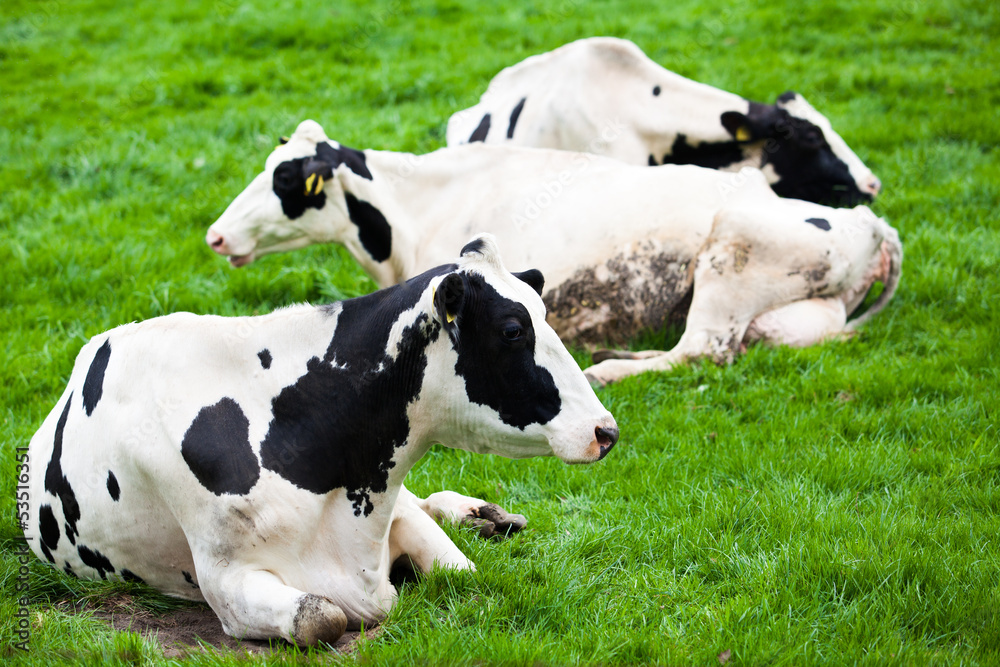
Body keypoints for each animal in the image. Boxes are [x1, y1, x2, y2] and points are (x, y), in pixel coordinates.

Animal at [23, 236, 616, 648]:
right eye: (513, 330)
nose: (606, 431)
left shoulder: (391, 506)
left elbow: (458, 568)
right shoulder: (227, 581)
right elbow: (321, 617)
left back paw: (483, 514)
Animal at [207, 117, 904, 384]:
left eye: (285, 180)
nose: (215, 235)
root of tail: (868, 220)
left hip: (732, 252)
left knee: (703, 349)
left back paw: (611, 366)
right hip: (792, 314)